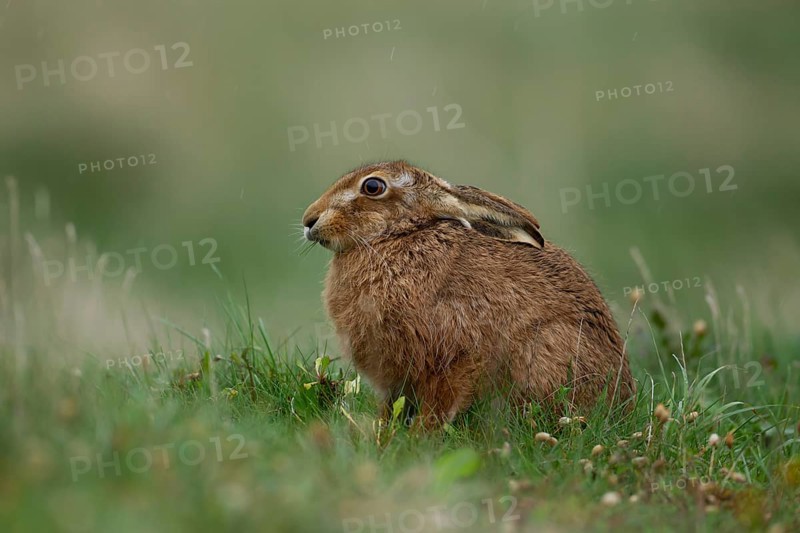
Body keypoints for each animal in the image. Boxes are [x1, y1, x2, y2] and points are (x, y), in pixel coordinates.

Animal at [302, 160, 635, 427]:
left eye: (373, 186)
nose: (308, 220)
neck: (400, 235)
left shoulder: (457, 355)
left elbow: (440, 405)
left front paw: (420, 439)